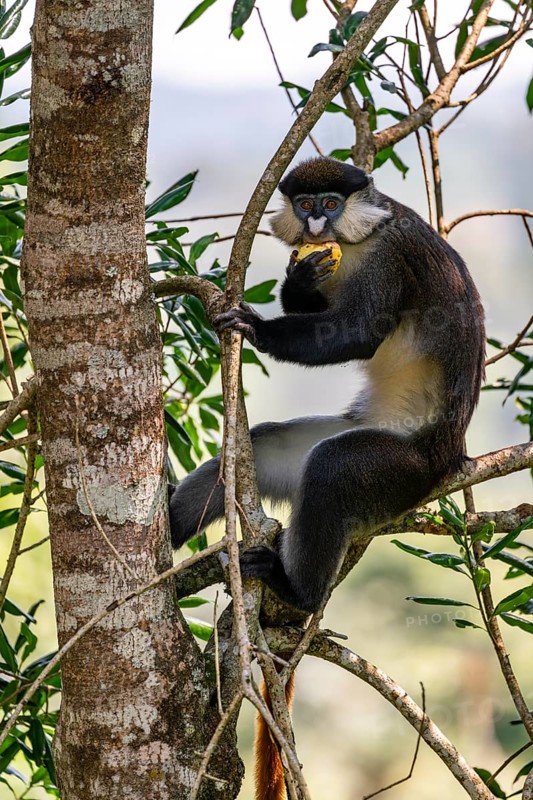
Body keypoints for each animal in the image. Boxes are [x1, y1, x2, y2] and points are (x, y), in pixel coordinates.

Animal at [169, 156, 485, 614]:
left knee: (331, 468)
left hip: (403, 467)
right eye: (305, 204)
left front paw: (258, 328)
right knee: (265, 444)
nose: (315, 224)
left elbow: (359, 333)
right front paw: (297, 282)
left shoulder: (389, 258)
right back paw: (167, 523)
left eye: (331, 204)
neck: (356, 240)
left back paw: (296, 591)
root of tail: (449, 458)